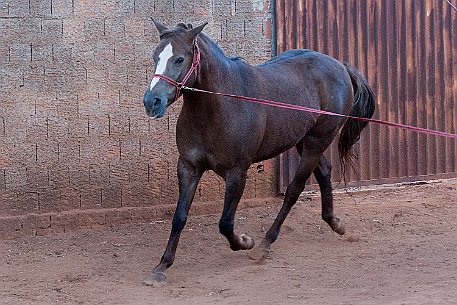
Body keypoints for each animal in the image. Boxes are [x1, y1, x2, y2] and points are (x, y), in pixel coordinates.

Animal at [142, 19, 374, 284]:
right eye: (155, 56)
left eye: (180, 59)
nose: (152, 102)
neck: (220, 106)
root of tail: (340, 66)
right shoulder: (188, 168)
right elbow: (179, 216)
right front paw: (162, 266)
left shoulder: (237, 172)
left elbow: (225, 223)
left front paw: (245, 242)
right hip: (303, 139)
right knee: (324, 171)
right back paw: (335, 223)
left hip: (318, 141)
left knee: (294, 190)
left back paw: (264, 245)